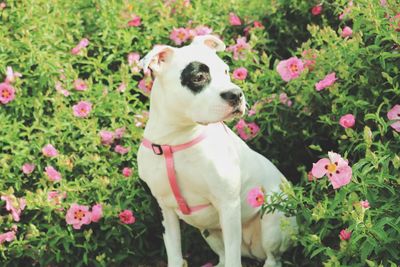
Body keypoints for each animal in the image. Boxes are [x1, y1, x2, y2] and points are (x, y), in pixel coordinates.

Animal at [138, 35, 296, 267]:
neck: (175, 139)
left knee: (272, 257)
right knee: (223, 255)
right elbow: (174, 254)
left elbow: (233, 259)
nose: (236, 94)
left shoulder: (228, 205)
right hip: (210, 232)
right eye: (198, 77)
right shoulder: (164, 210)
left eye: (225, 71)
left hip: (274, 219)